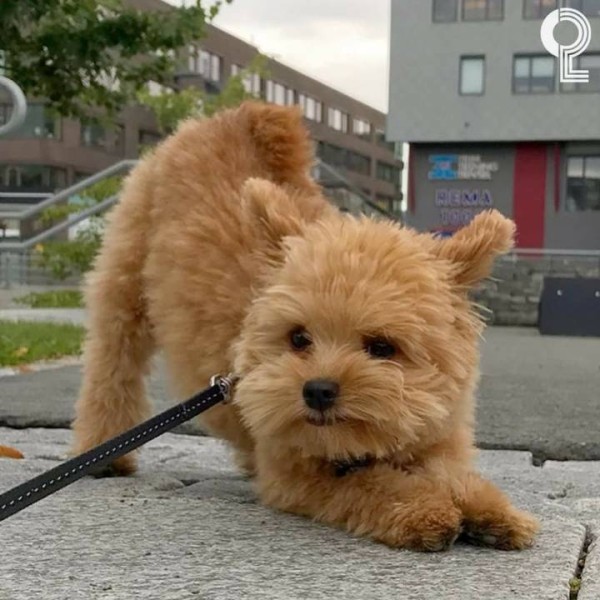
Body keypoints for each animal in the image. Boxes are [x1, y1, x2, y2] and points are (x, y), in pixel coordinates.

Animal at [74, 101, 540, 552]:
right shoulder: (297, 473)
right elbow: (370, 485)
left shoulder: (438, 438)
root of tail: (231, 118)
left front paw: (489, 509)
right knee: (111, 370)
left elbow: (452, 475)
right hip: (124, 289)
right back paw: (106, 452)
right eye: (298, 338)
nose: (316, 390)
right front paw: (424, 509)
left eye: (382, 347)